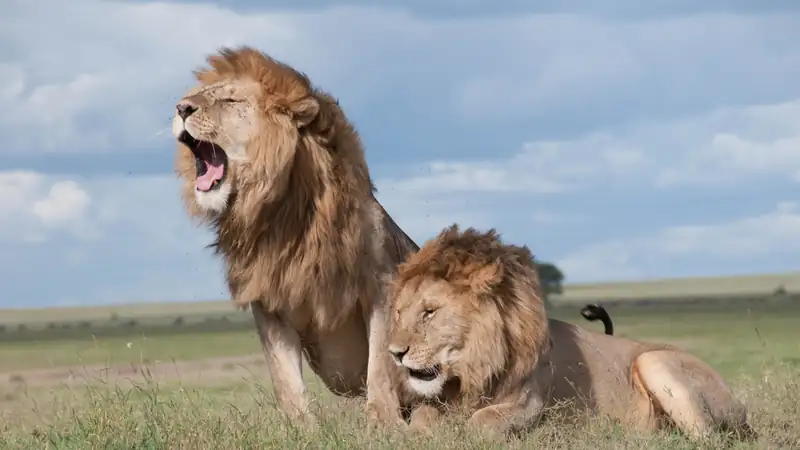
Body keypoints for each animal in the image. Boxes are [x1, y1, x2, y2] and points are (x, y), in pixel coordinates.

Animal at [171, 46, 419, 426]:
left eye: (229, 100)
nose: (181, 108)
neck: (281, 213)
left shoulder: (381, 286)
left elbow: (379, 363)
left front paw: (383, 423)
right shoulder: (269, 301)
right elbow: (285, 377)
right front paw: (300, 428)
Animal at [387, 225, 754, 441]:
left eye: (430, 312)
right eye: (400, 313)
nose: (395, 353)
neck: (472, 369)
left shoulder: (530, 404)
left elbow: (481, 422)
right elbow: (420, 421)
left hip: (655, 361)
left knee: (709, 439)